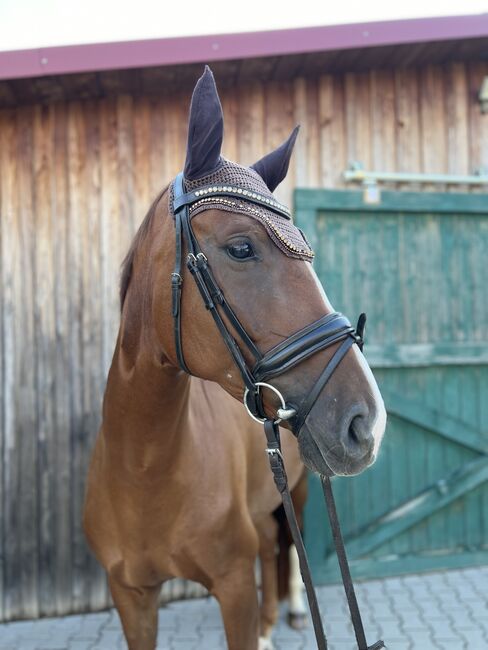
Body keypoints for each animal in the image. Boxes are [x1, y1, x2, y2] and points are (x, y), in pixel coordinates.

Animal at [85, 67, 388, 648]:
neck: (146, 469)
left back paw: (290, 611)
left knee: (286, 541)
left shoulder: (233, 588)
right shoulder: (131, 597)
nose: (367, 422)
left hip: (300, 488)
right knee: (270, 543)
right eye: (242, 248)